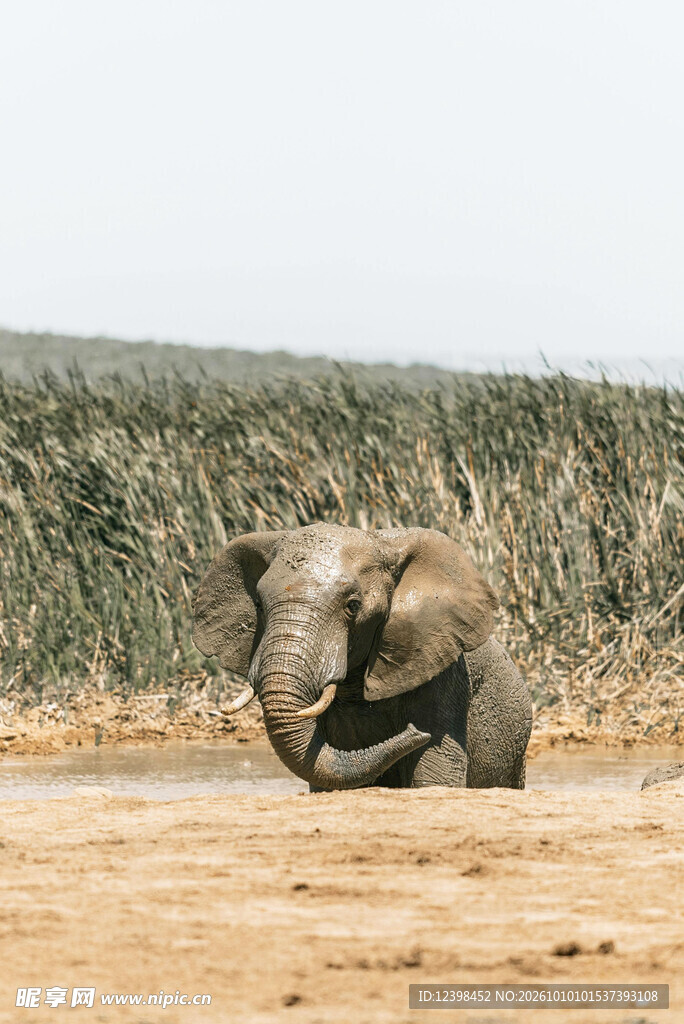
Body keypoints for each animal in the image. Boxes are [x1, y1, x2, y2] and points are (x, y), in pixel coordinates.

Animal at [192, 523, 532, 791]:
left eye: (353, 606)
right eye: (259, 605)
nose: (416, 732)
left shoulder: (443, 675)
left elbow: (435, 776)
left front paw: (425, 737)